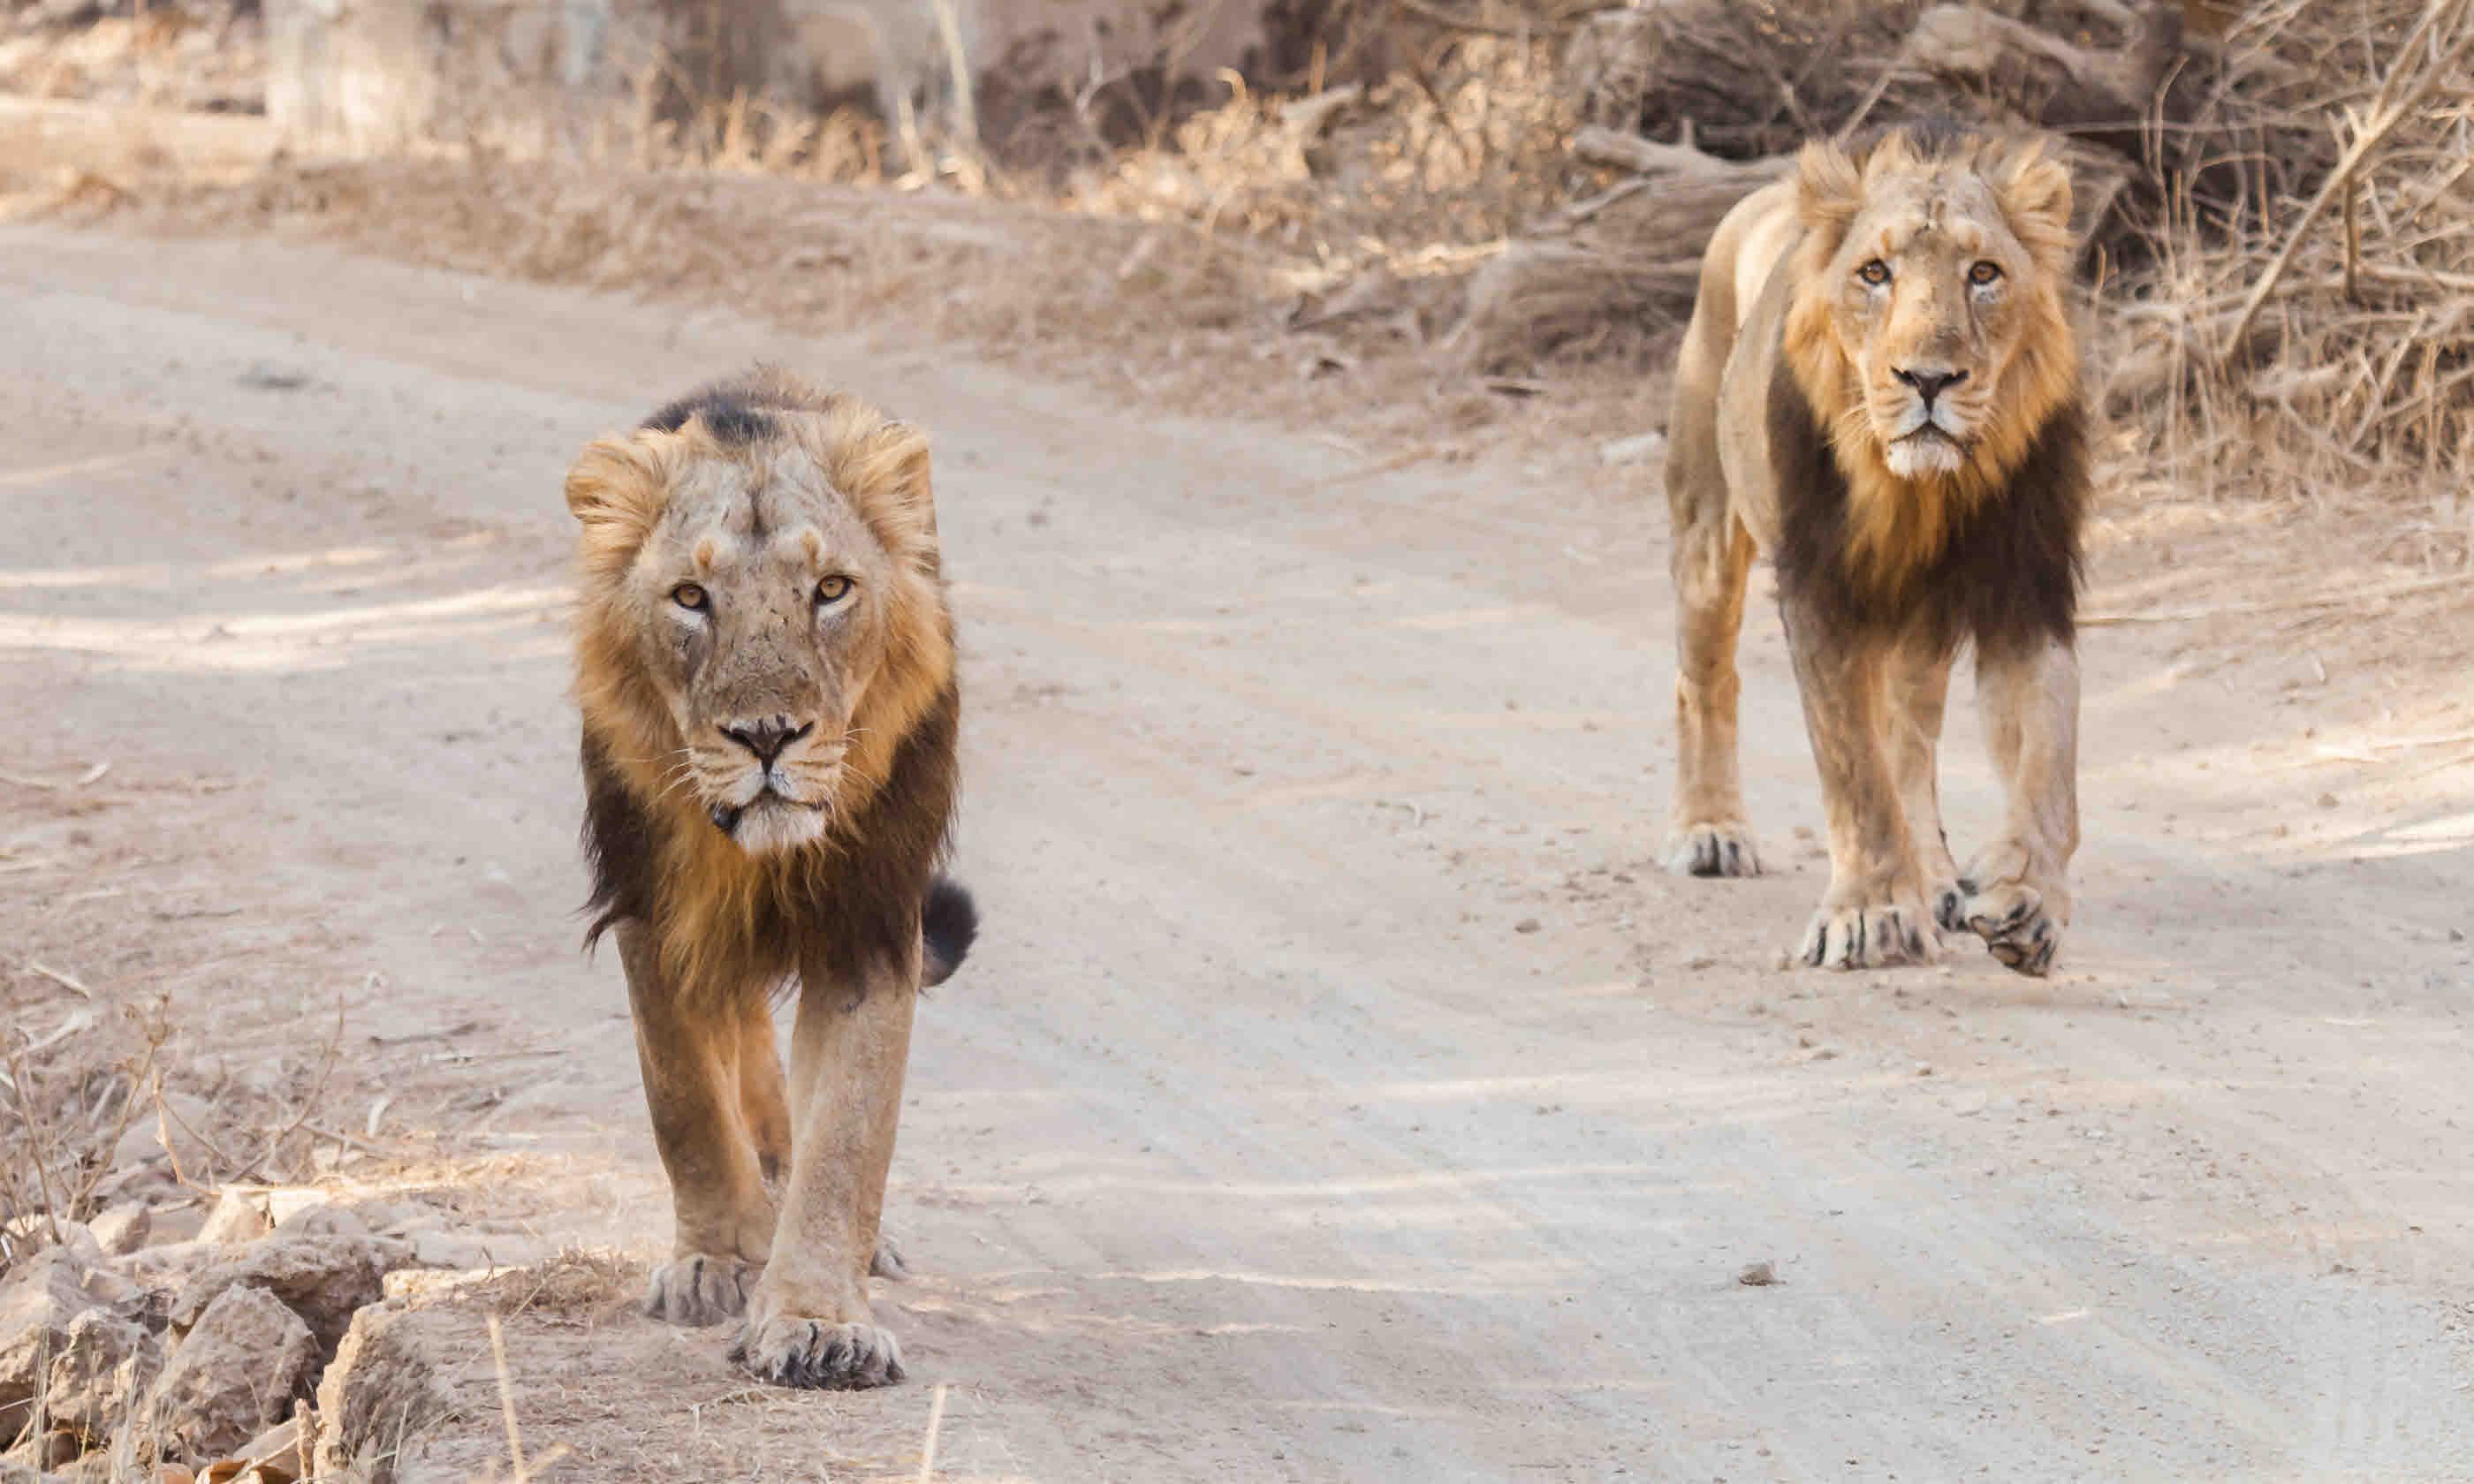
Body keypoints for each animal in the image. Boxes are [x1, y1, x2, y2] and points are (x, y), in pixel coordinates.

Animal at [565, 367, 976, 1389]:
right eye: (690, 596)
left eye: (830, 589)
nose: (766, 737)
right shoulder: (649, 901)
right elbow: (683, 1099)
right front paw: (719, 1261)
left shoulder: (873, 917)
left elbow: (849, 1131)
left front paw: (820, 1317)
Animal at [1660, 125, 2087, 976]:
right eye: (1874, 274)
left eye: (1983, 273)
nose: (1929, 378)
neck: (1919, 492)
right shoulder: (1822, 591)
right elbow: (1854, 770)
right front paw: (1873, 915)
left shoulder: (2028, 587)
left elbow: (2047, 759)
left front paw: (2026, 901)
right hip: (1707, 528)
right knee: (1706, 680)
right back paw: (1712, 831)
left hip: (1919, 621)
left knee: (1912, 740)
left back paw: (1940, 876)